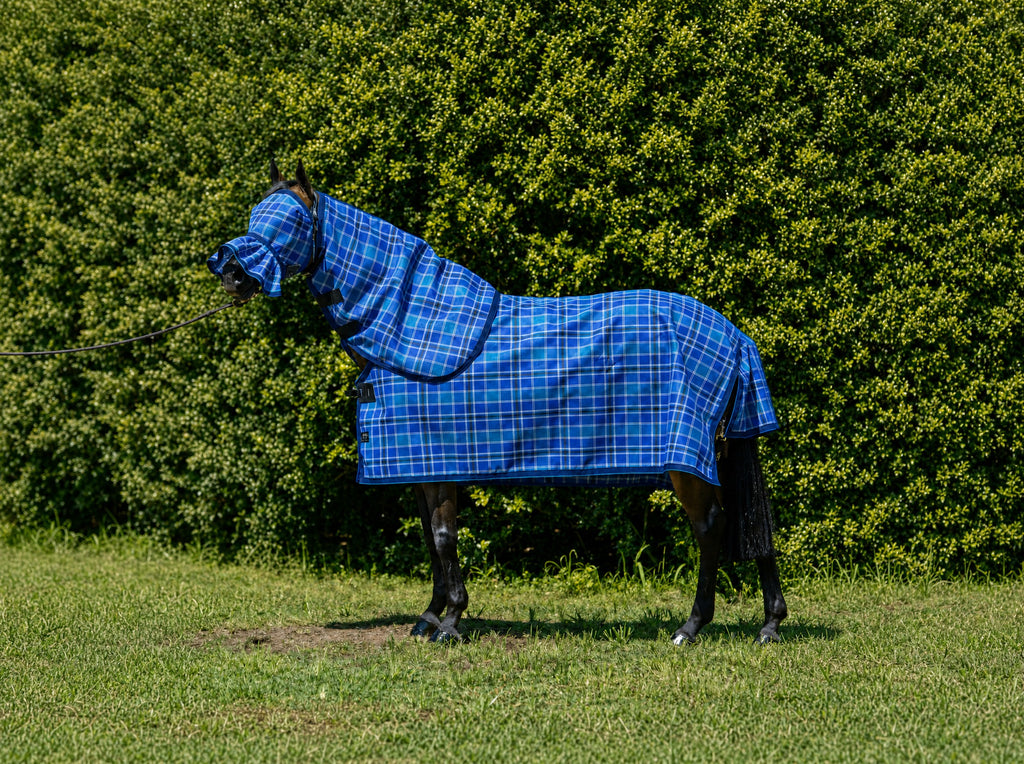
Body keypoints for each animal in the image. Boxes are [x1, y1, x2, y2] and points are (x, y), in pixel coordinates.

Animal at [213, 161, 788, 646]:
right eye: (255, 216)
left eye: (289, 222)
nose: (231, 273)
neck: (408, 326)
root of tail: (732, 334)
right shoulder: (422, 467)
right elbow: (431, 542)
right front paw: (430, 617)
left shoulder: (440, 463)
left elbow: (444, 538)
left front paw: (450, 622)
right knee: (749, 527)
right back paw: (769, 625)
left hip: (685, 462)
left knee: (711, 528)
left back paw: (691, 628)